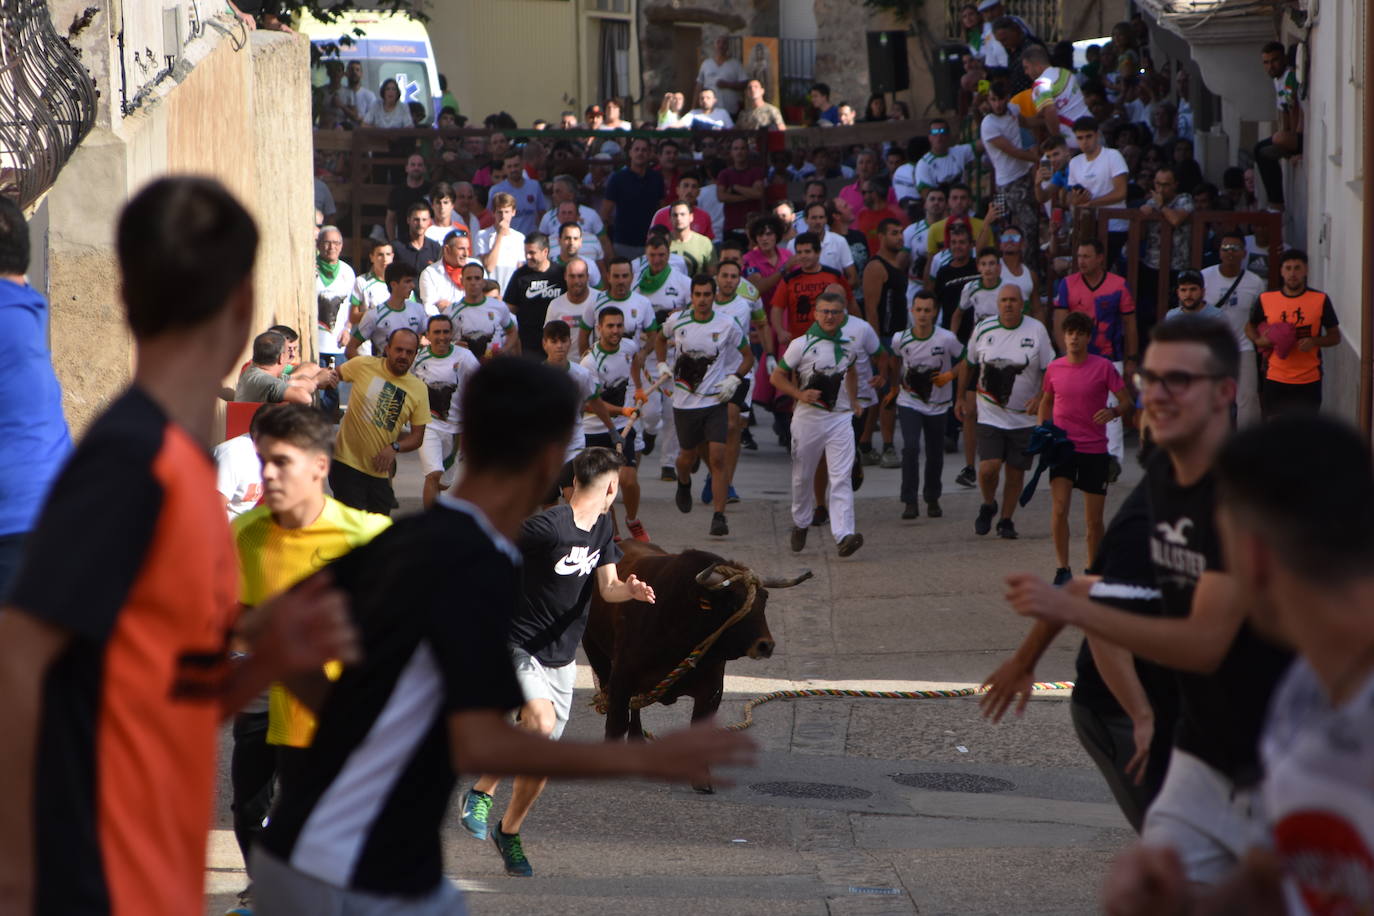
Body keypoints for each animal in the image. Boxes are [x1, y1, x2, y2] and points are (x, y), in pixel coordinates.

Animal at [582, 543, 807, 758]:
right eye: (733, 604)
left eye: (764, 599)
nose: (765, 645)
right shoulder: (621, 680)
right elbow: (616, 726)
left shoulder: (712, 690)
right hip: (595, 653)